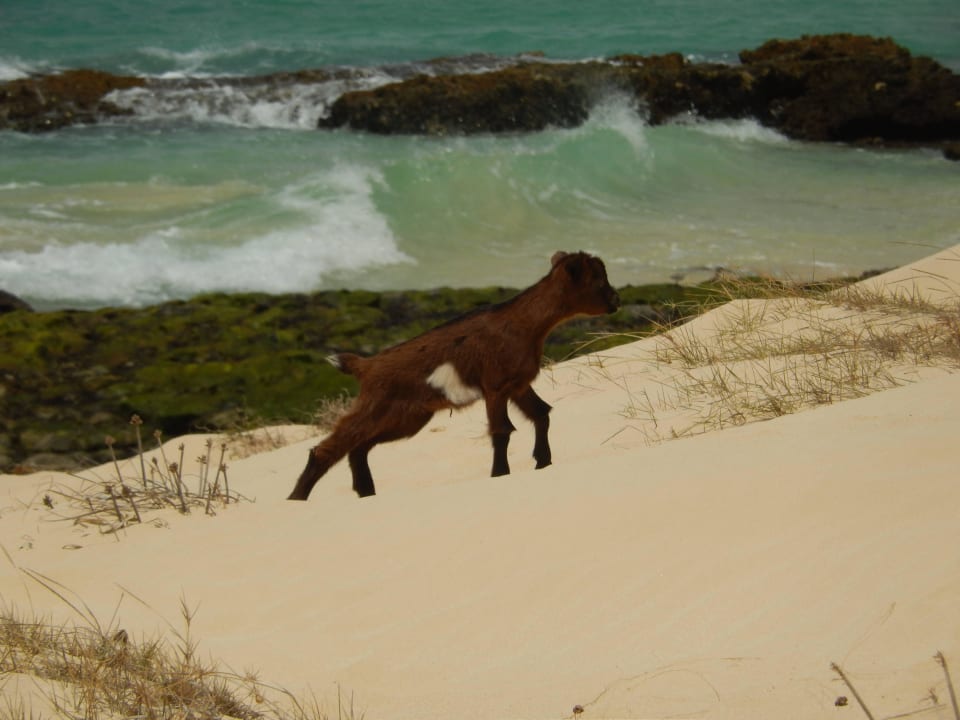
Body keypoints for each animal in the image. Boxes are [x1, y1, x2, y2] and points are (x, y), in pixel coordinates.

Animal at [287, 251, 620, 500]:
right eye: (597, 280)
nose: (616, 301)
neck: (525, 324)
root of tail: (366, 365)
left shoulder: (518, 384)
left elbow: (541, 413)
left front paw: (544, 462)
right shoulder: (495, 386)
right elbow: (501, 430)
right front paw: (500, 474)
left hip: (408, 415)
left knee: (358, 447)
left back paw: (366, 493)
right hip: (379, 403)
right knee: (330, 447)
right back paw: (297, 500)